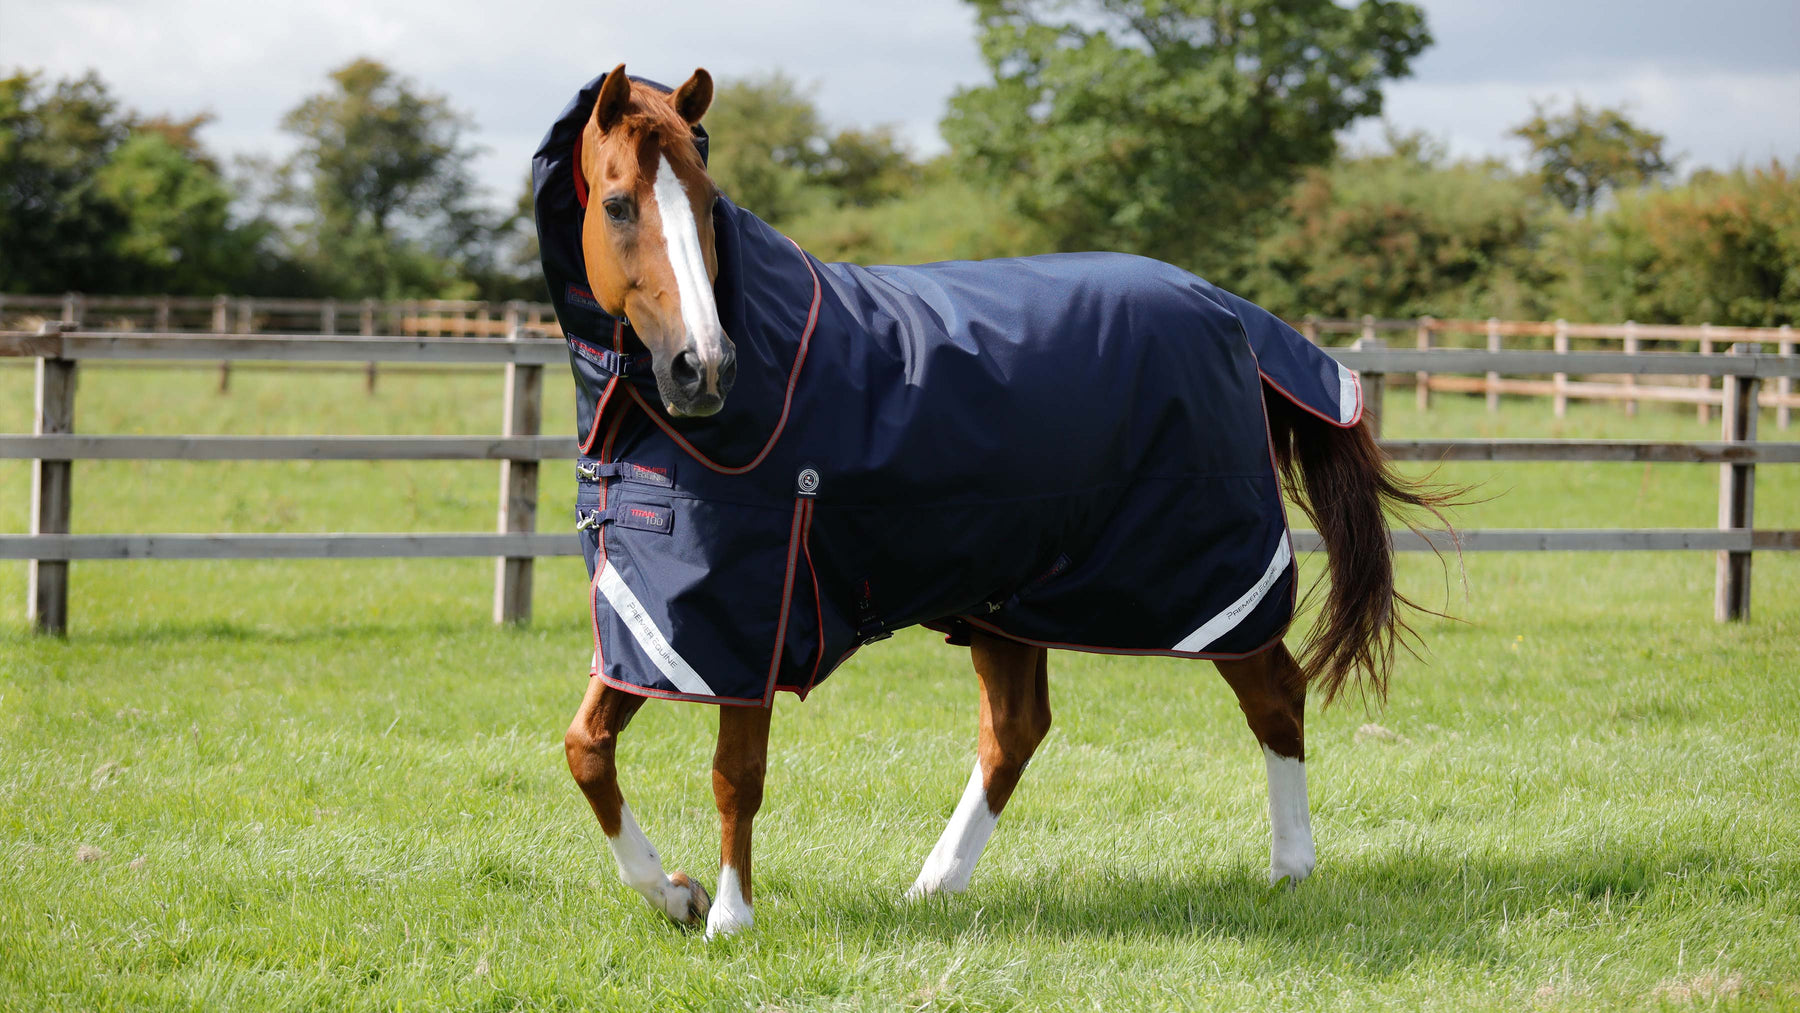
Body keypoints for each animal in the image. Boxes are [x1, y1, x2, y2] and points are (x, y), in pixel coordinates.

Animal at [540, 65, 1453, 940]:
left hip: (1208, 582)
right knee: (1017, 729)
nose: (704, 366)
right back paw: (932, 886)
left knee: (1275, 694)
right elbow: (586, 748)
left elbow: (736, 772)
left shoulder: (746, 614)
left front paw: (728, 917)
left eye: (705, 202)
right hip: (1008, 598)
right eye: (618, 204)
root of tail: (1231, 311)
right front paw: (675, 894)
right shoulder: (654, 618)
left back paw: (1290, 868)